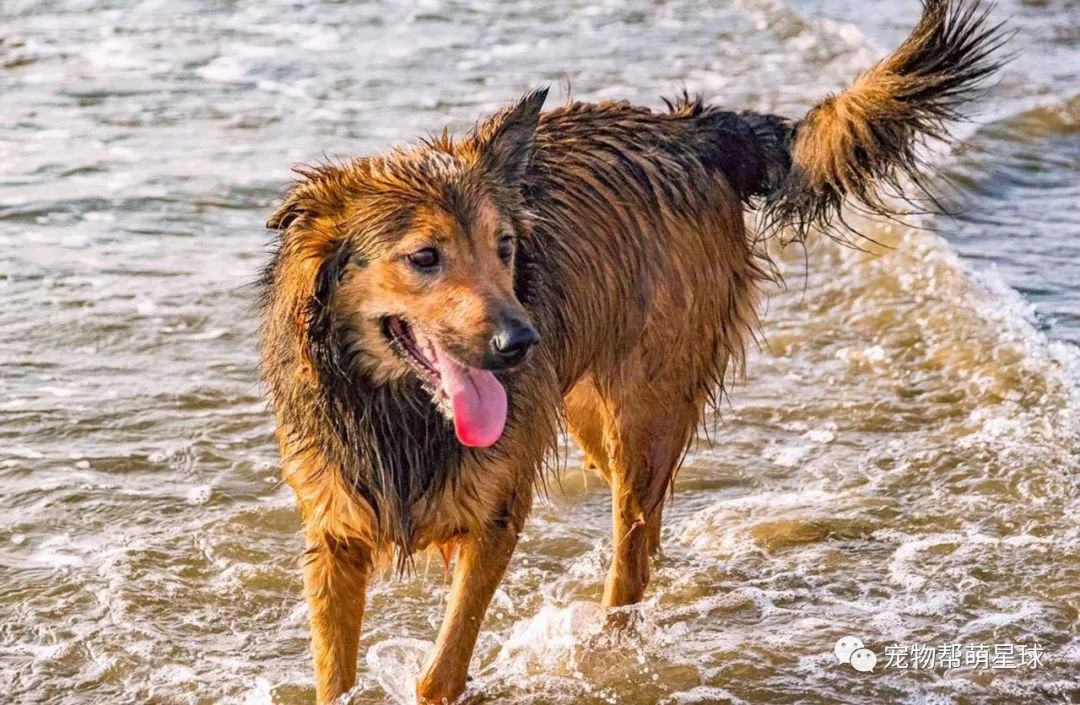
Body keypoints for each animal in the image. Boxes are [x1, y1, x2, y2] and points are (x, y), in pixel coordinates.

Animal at [259, 2, 1002, 699]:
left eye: (505, 246)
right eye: (424, 257)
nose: (521, 342)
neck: (400, 411)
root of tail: (690, 127)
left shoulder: (496, 514)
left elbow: (440, 670)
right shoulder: (334, 536)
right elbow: (334, 674)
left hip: (643, 410)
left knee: (632, 553)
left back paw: (609, 643)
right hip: (589, 416)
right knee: (644, 527)